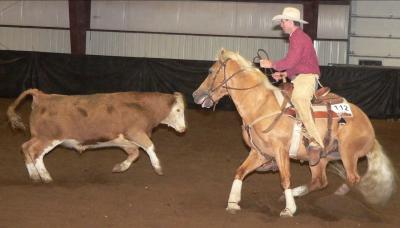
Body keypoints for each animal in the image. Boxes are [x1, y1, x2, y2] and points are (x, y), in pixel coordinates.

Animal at [7, 88, 187, 183]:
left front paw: (120, 167)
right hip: (48, 138)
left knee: (25, 147)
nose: (183, 129)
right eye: (178, 110)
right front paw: (158, 167)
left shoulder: (124, 141)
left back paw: (34, 175)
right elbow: (150, 146)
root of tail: (41, 95)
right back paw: (45, 176)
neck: (142, 108)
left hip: (39, 137)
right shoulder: (135, 132)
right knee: (35, 152)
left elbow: (134, 154)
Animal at [192, 49, 396, 216]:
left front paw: (289, 209)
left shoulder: (280, 151)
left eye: (210, 71)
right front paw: (233, 203)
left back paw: (334, 197)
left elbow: (285, 179)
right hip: (320, 159)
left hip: (348, 153)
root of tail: (367, 123)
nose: (195, 95)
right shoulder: (259, 153)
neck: (260, 106)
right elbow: (240, 171)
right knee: (320, 181)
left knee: (353, 178)